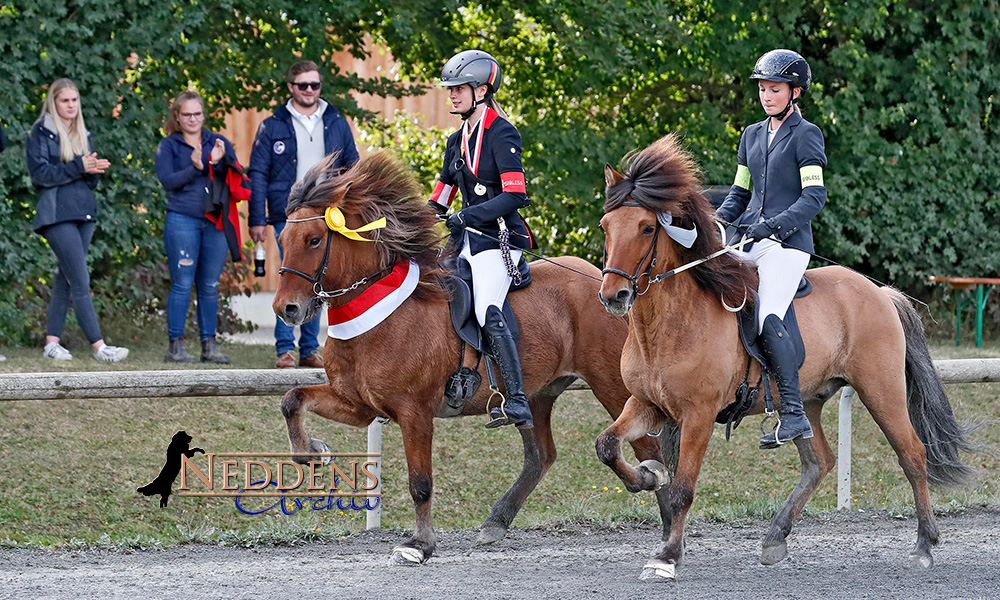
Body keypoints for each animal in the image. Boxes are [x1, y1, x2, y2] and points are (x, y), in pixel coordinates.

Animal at [272, 150, 672, 564]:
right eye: (283, 238)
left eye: (314, 239)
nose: (287, 309)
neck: (378, 314)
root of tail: (606, 282)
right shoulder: (360, 406)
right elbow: (293, 400)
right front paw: (314, 454)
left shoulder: (414, 413)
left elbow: (420, 482)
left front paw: (420, 544)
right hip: (537, 394)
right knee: (541, 456)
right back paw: (497, 521)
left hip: (610, 385)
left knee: (648, 450)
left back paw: (660, 505)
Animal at [592, 134, 976, 580]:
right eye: (606, 227)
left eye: (647, 227)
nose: (613, 295)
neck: (668, 324)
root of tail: (879, 292)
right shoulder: (647, 404)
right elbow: (607, 445)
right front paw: (648, 477)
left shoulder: (698, 414)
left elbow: (683, 489)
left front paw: (667, 557)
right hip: (807, 400)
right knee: (819, 462)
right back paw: (775, 536)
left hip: (881, 390)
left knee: (912, 454)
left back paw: (924, 545)